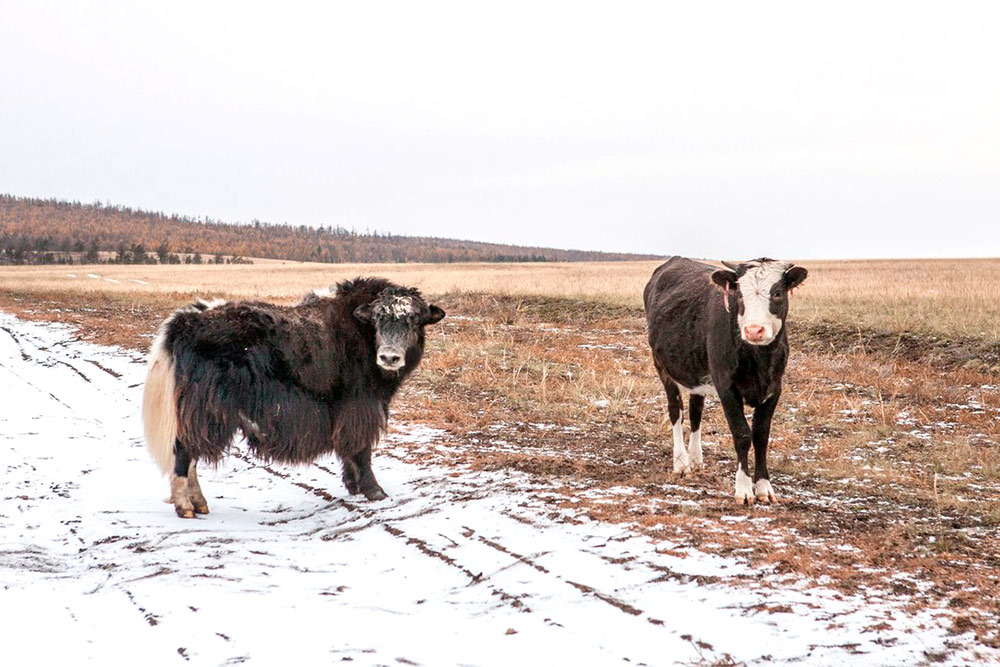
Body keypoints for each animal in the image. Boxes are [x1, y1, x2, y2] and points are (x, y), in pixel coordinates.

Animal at [142, 276, 446, 516]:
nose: (389, 357)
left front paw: (353, 487)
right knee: (184, 450)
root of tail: (184, 321)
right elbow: (361, 449)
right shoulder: (361, 405)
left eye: (414, 321)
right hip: (206, 408)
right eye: (379, 319)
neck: (362, 332)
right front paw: (375, 492)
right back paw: (186, 507)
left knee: (190, 453)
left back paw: (200, 504)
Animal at [644, 258, 808, 504]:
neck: (759, 359)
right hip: (662, 365)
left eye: (777, 293)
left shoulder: (774, 388)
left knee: (695, 411)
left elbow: (761, 435)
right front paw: (744, 489)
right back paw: (681, 463)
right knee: (675, 410)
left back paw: (696, 459)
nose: (754, 330)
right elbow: (742, 434)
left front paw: (764, 487)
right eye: (739, 295)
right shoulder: (726, 387)